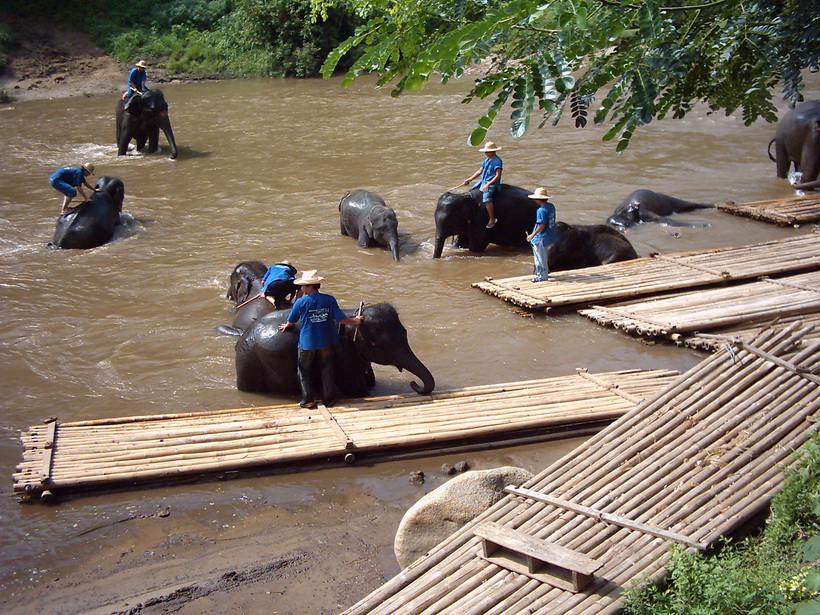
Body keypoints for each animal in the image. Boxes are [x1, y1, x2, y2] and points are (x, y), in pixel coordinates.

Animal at [231, 304, 436, 400]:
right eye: (381, 345)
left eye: (405, 333)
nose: (413, 383)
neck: (353, 314)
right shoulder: (342, 352)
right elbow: (356, 390)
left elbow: (370, 381)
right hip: (249, 362)